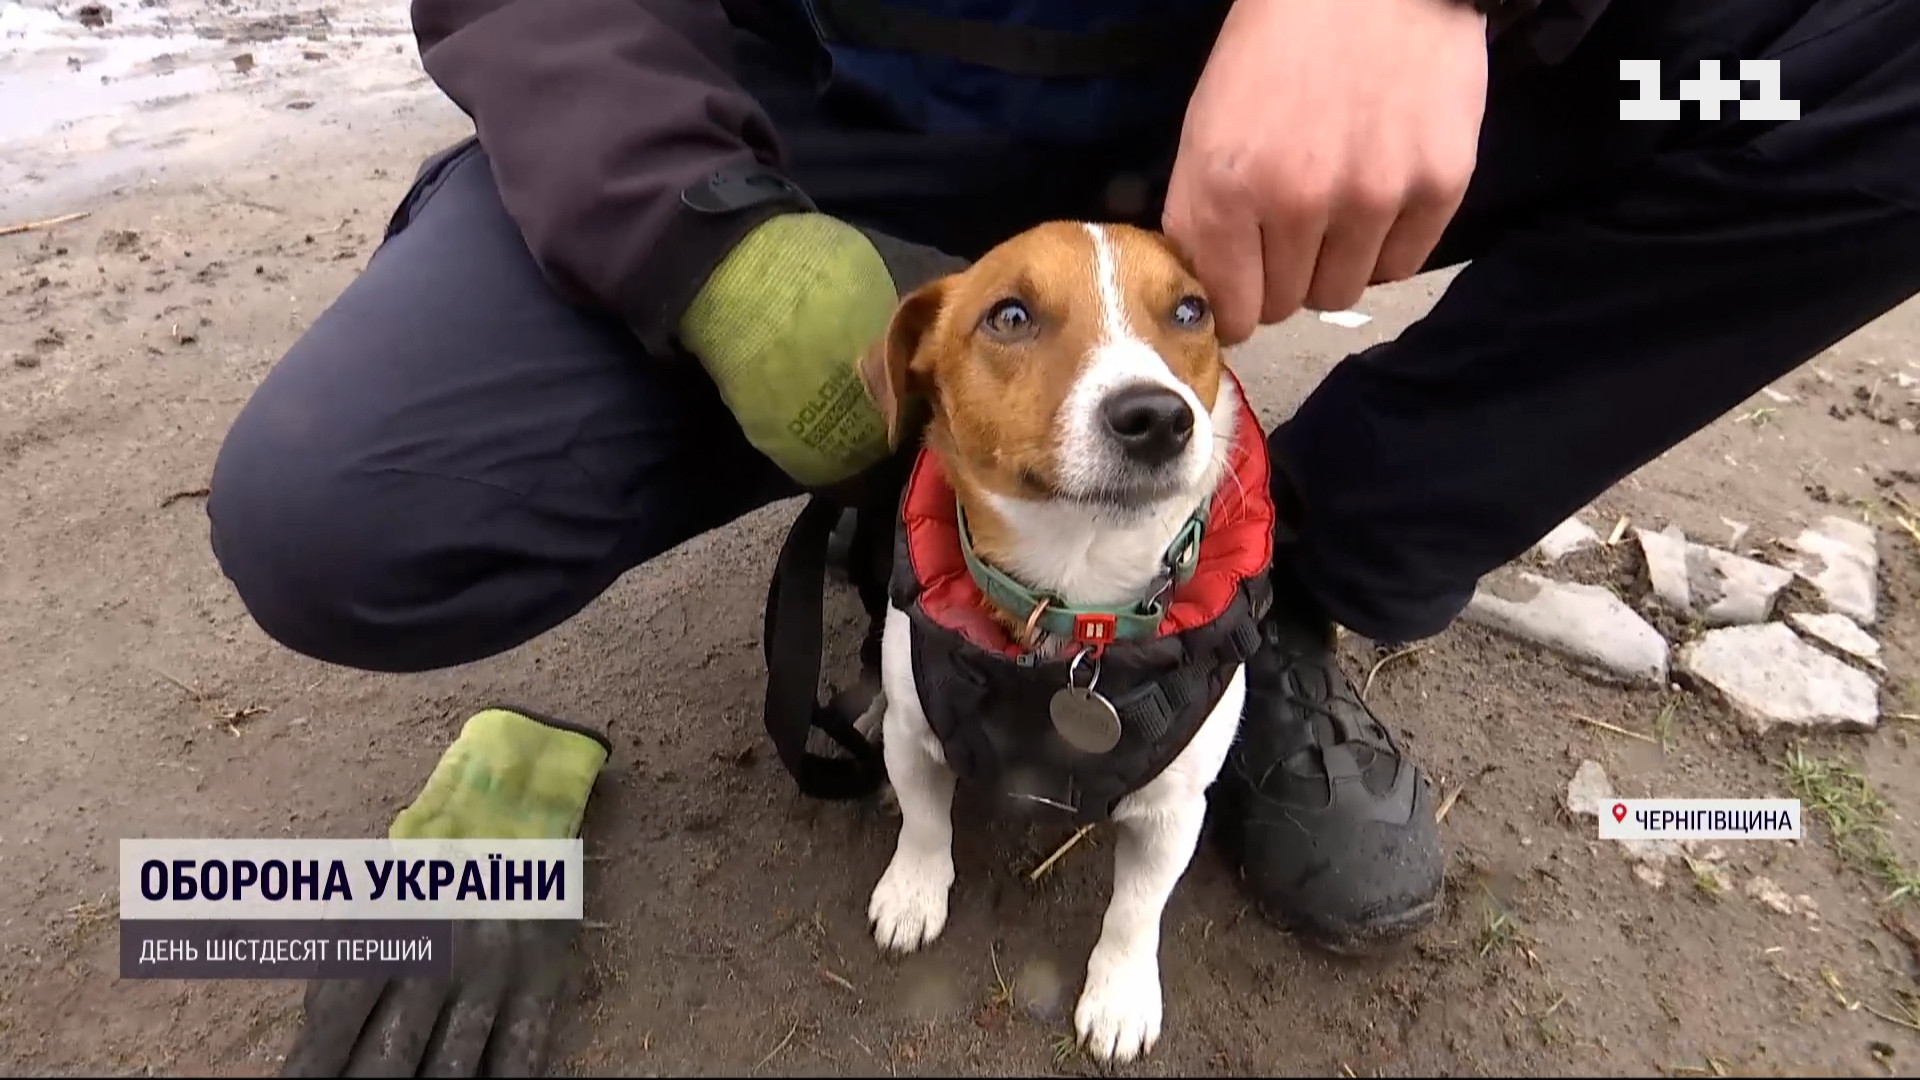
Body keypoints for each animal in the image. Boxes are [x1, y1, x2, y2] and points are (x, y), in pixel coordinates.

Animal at [852, 216, 1274, 1060]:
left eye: (1190, 311)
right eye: (1010, 316)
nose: (1158, 417)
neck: (1075, 612)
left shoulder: (1174, 809)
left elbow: (1136, 912)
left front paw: (1119, 996)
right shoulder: (920, 739)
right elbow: (924, 821)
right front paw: (913, 892)